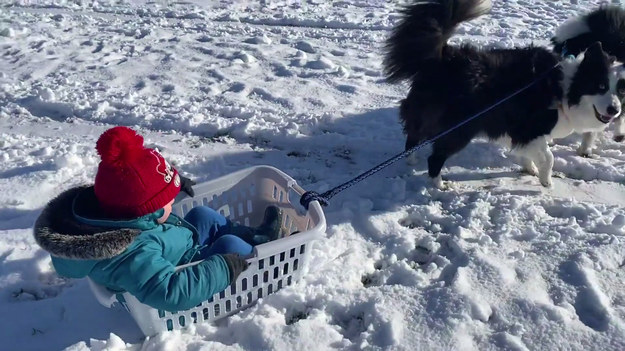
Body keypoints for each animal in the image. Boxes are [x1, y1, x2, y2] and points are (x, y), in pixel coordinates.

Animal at [300, 62, 564, 210]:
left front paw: (533, 170)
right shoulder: (530, 128)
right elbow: (547, 156)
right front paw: (545, 179)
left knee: (415, 143)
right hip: (458, 133)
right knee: (434, 158)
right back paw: (439, 184)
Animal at [552, 5, 624, 157]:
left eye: (622, 90)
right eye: (601, 86)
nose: (613, 110)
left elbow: (591, 131)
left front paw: (585, 151)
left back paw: (619, 134)